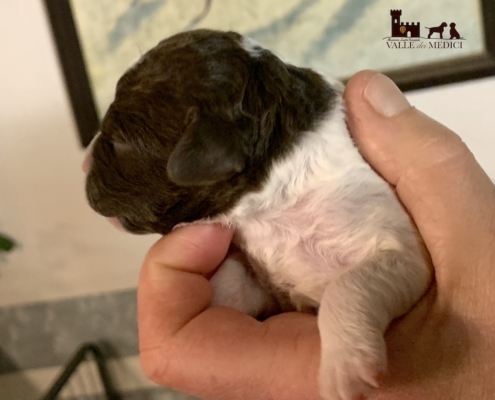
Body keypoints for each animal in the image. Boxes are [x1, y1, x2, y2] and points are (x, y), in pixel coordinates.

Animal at [85, 28, 434, 400]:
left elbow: (348, 284)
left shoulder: (400, 249)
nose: (83, 162)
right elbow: (233, 283)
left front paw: (345, 369)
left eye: (120, 143)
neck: (272, 202)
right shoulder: (263, 279)